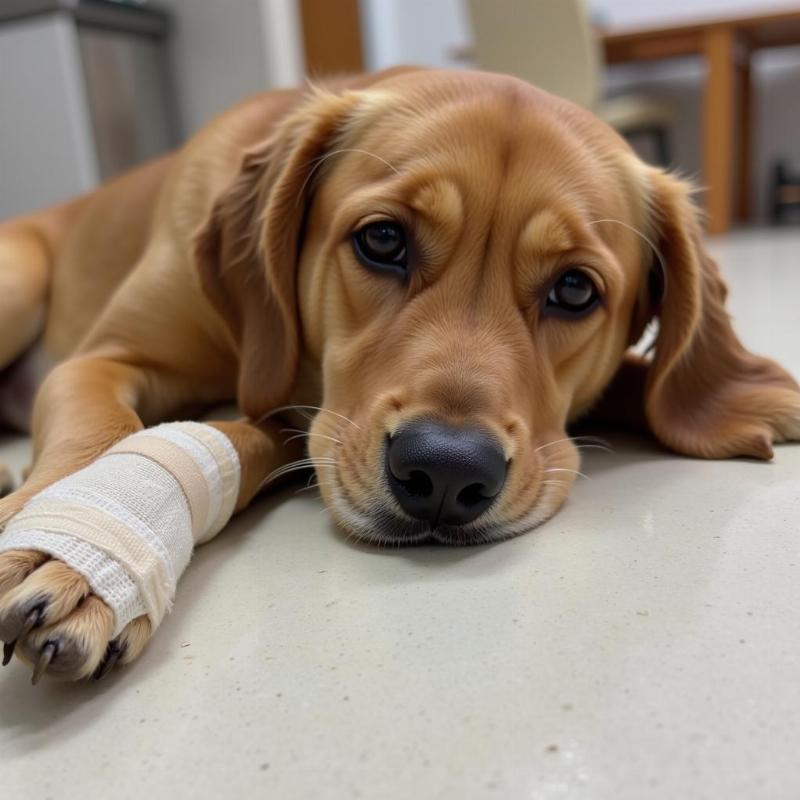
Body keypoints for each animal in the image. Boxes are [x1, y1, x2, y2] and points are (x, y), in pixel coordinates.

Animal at [1, 69, 800, 680]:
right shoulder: (104, 359)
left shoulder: (303, 423)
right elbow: (103, 431)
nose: (446, 473)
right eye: (383, 240)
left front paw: (748, 391)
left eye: (575, 289)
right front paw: (62, 559)